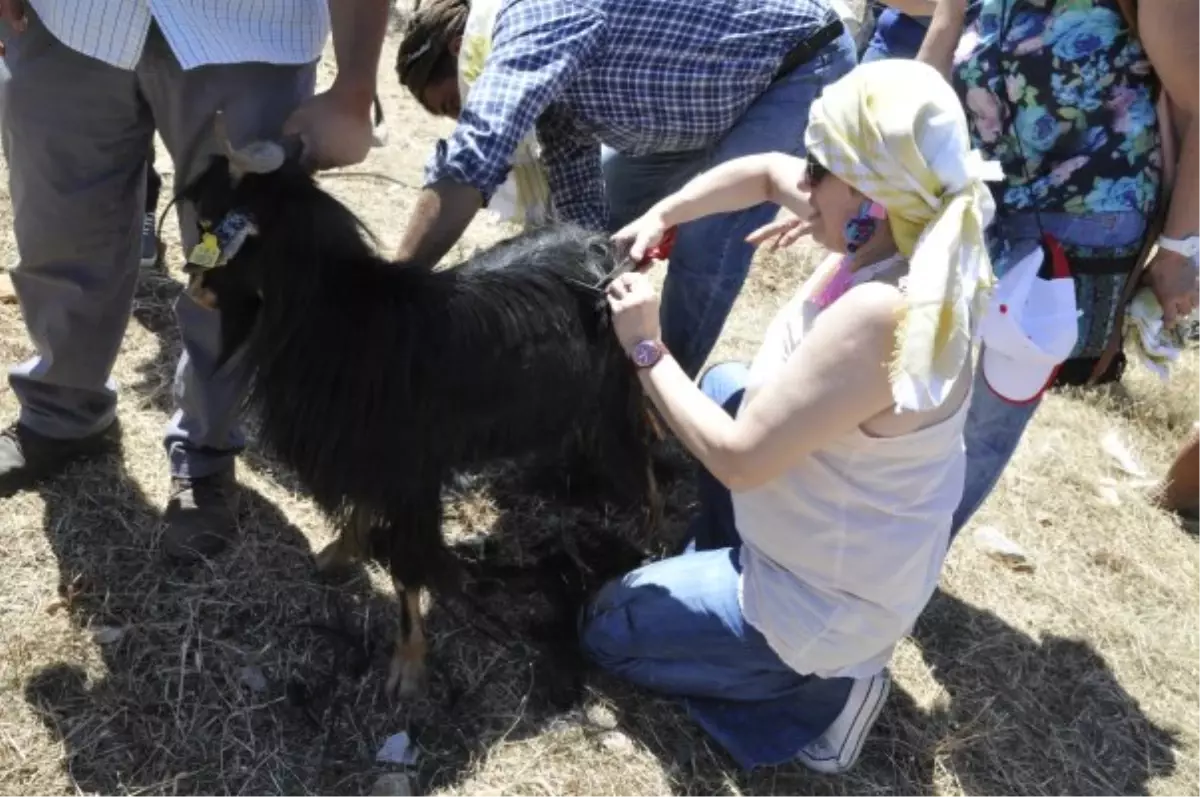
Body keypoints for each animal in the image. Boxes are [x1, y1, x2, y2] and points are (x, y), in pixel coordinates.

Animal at [178, 117, 662, 696]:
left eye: (221, 230)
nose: (195, 287)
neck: (344, 320)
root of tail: (604, 243)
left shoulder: (411, 472)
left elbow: (409, 566)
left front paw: (407, 667)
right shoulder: (371, 454)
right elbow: (364, 507)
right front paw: (339, 554)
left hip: (616, 388)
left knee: (639, 445)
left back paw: (650, 528)